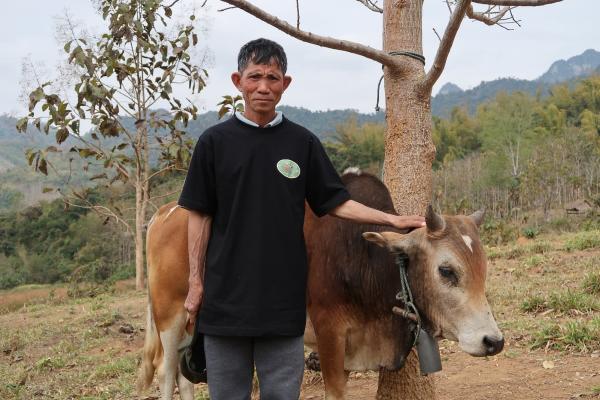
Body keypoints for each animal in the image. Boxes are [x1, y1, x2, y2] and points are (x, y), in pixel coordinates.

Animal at [136, 171, 502, 400]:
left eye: (484, 269)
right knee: (165, 373)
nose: (493, 341)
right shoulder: (330, 335)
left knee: (183, 376)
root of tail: (164, 213)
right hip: (169, 317)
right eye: (446, 270)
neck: (362, 256)